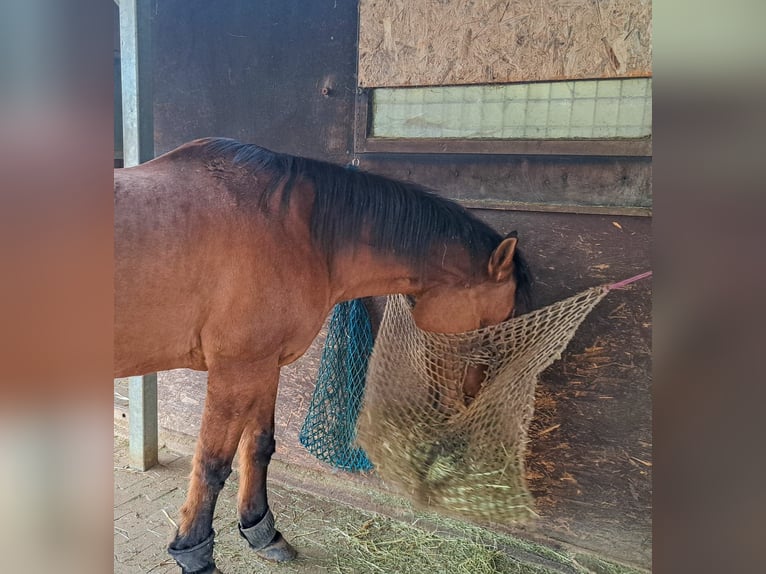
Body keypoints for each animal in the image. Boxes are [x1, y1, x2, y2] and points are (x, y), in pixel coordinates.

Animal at [114, 140, 536, 574]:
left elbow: (258, 446)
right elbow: (211, 463)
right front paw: (195, 554)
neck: (293, 231)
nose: (469, 401)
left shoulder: (265, 365)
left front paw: (261, 531)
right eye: (495, 326)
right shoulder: (236, 369)